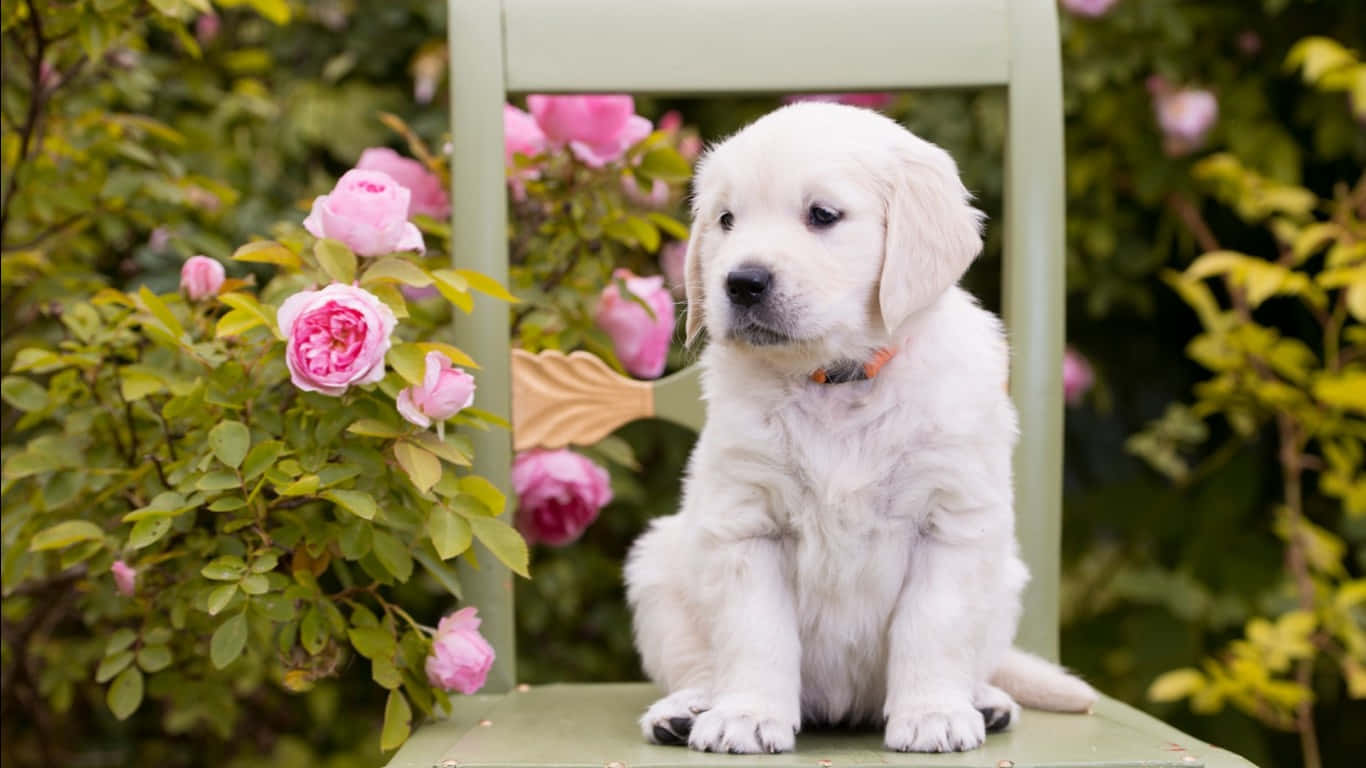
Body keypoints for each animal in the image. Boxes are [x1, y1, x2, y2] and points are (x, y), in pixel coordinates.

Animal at [625, 103, 1092, 754]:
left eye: (823, 215)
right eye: (726, 220)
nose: (741, 282)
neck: (836, 380)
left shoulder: (950, 521)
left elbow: (933, 625)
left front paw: (931, 714)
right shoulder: (746, 521)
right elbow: (755, 632)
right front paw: (746, 715)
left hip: (1004, 580)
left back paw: (984, 701)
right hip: (658, 568)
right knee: (695, 662)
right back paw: (686, 709)